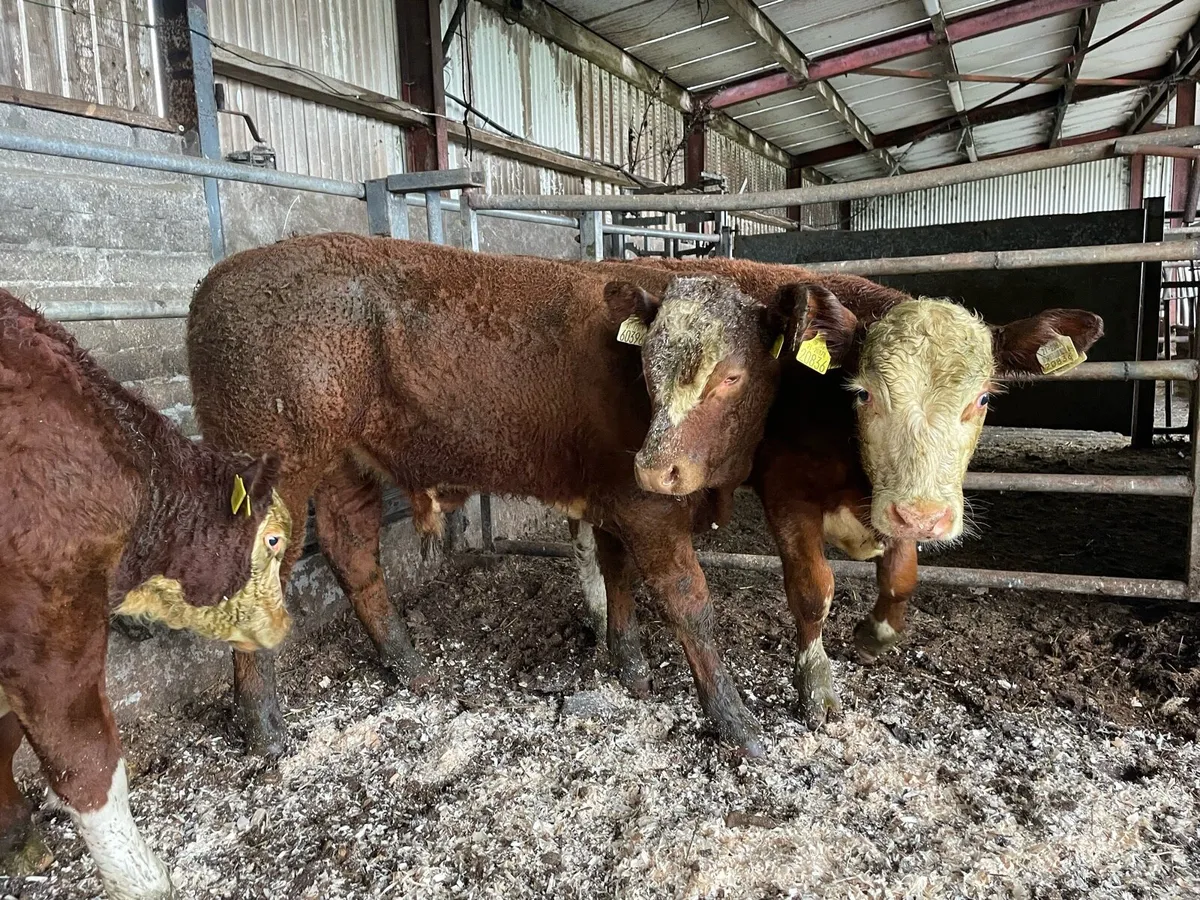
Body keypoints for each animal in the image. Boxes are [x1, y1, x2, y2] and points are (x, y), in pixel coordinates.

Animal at [0, 289, 293, 899]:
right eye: (273, 540)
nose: (286, 625)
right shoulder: (50, 629)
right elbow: (86, 758)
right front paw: (143, 879)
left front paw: (15, 837)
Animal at [185, 234, 808, 759]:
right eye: (648, 371)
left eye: (733, 375)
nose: (656, 468)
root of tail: (215, 279)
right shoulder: (645, 506)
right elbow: (688, 601)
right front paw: (736, 722)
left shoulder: (613, 494)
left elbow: (616, 575)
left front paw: (630, 666)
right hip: (273, 471)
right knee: (254, 573)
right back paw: (264, 728)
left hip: (343, 461)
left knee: (352, 549)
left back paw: (410, 667)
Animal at [573, 255, 1103, 727]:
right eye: (864, 393)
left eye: (984, 398)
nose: (927, 518)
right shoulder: (788, 496)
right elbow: (813, 590)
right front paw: (816, 687)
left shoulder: (896, 497)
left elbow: (901, 577)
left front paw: (873, 636)